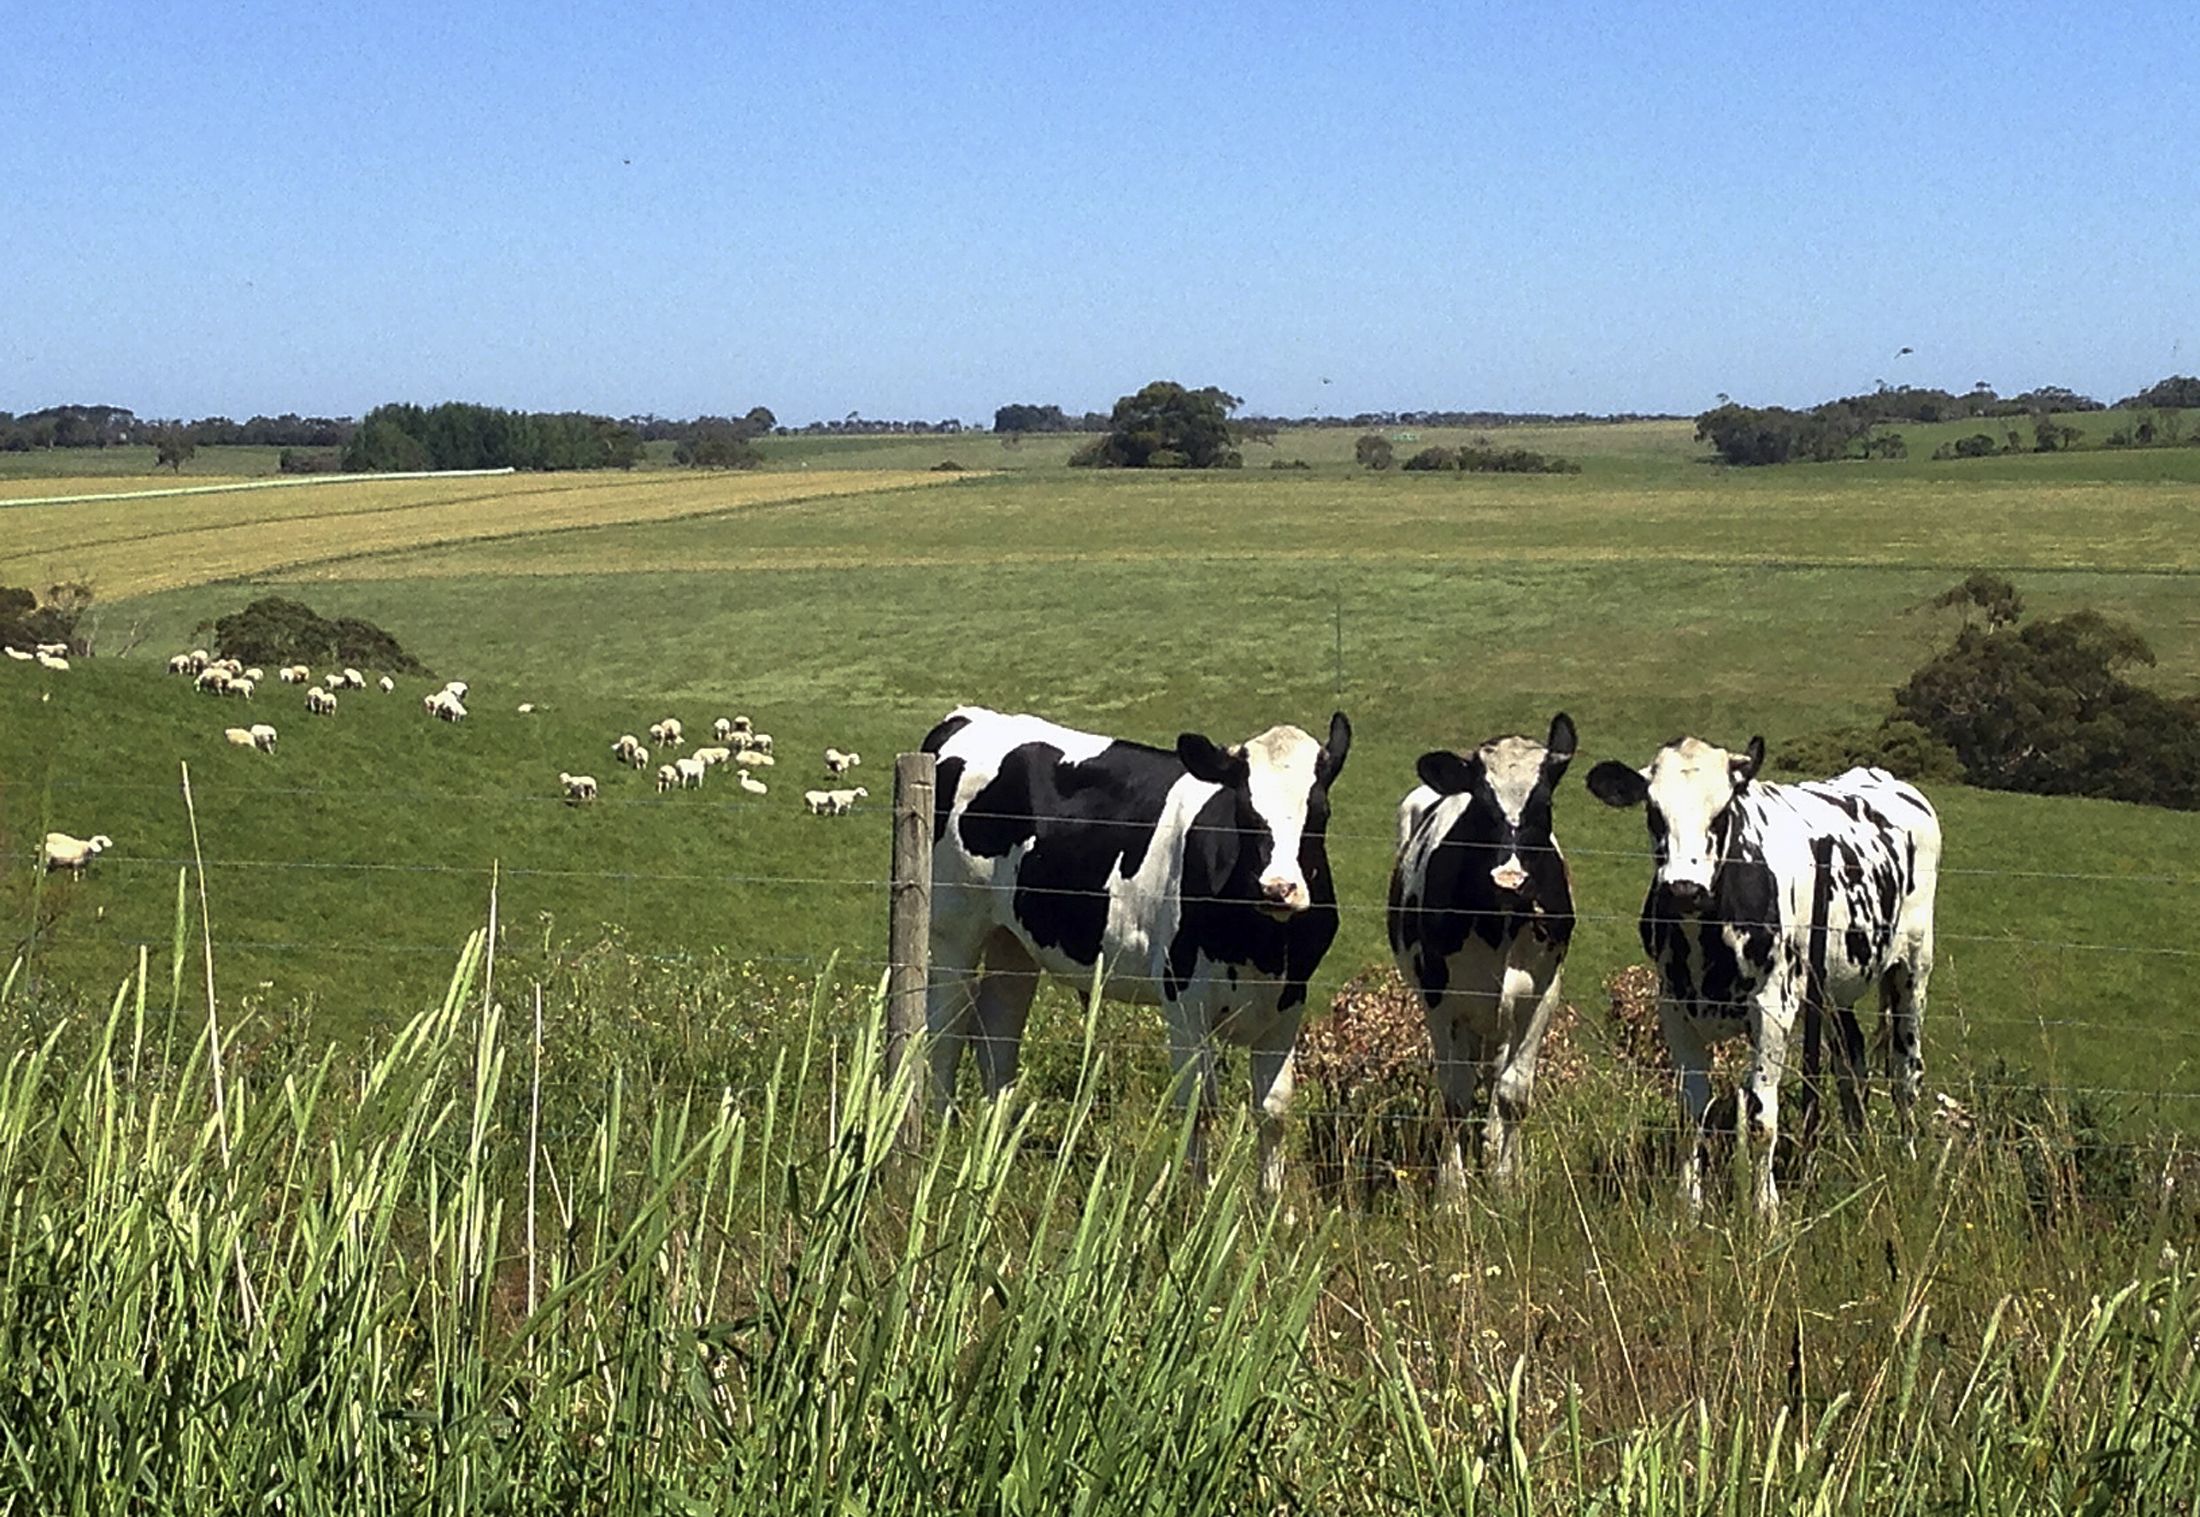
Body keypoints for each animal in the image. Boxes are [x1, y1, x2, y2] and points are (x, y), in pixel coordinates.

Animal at [915, 703, 1355, 1187]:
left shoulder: (1289, 1001)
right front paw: (1196, 1198)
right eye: (1244, 810)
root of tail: (968, 716)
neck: (1261, 944)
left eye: (1320, 812)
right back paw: (940, 1139)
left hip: (1011, 942)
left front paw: (1270, 1202)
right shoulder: (1184, 998)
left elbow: (1273, 1112)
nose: (1278, 888)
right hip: (954, 930)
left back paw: (997, 1148)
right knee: (946, 1033)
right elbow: (1198, 1107)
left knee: (997, 1036)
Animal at [1381, 707, 1575, 1196]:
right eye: (1481, 807)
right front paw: (1452, 1193)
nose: (1509, 878)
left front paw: (1507, 1182)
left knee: (1498, 1072)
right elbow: (1455, 1096)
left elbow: (1513, 1094)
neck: (1499, 926)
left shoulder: (1541, 994)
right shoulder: (1441, 999)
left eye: (1544, 805)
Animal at [1584, 738, 1944, 1213]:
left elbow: (1760, 1120)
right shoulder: (1675, 1009)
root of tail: (1885, 778)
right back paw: (1856, 1154)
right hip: (1834, 987)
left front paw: (1764, 1209)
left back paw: (1907, 1163)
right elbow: (1691, 1113)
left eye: (1722, 813)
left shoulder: (1774, 1009)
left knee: (1906, 1073)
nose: (1684, 889)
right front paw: (1688, 1204)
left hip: (1913, 970)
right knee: (1852, 1065)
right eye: (1653, 812)